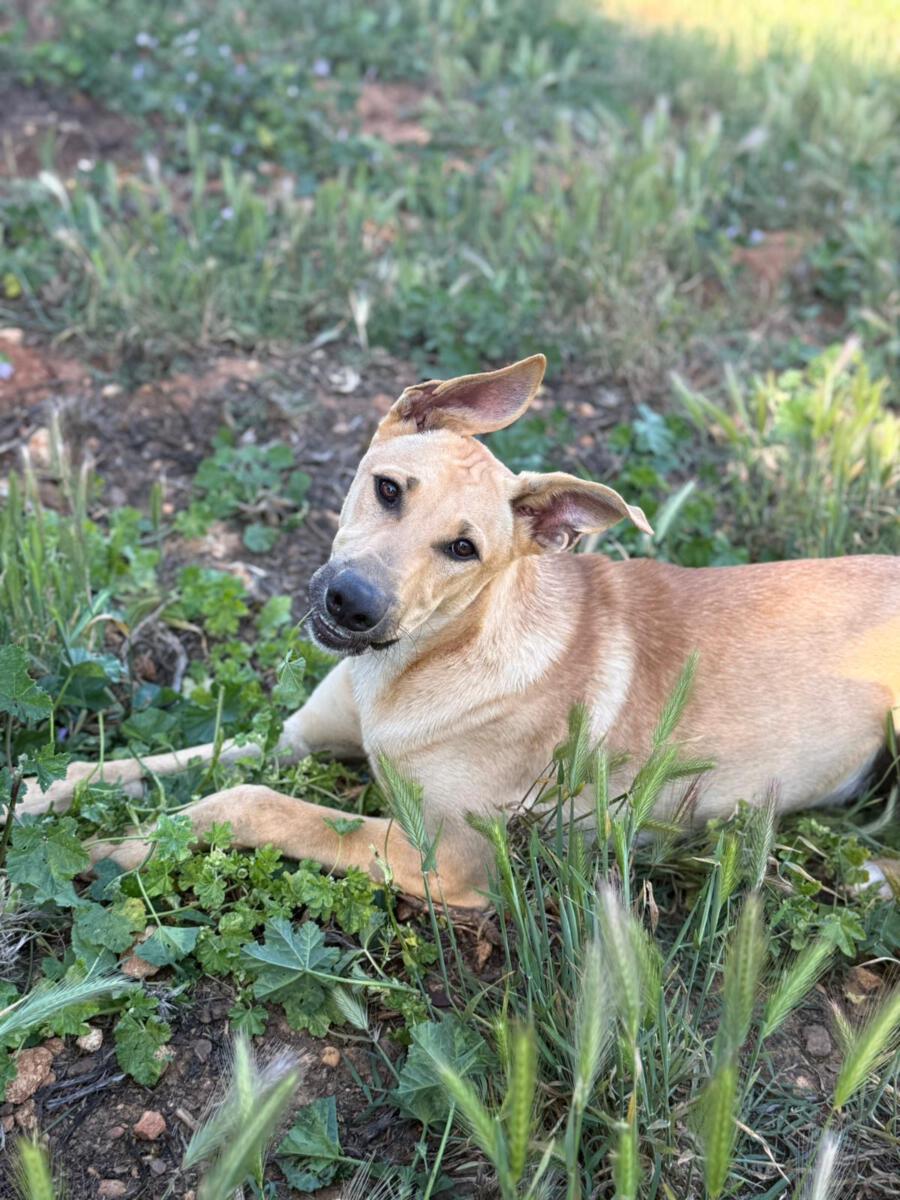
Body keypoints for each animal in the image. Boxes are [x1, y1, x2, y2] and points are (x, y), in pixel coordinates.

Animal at [21, 355, 900, 908]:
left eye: (463, 549)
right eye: (387, 489)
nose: (351, 603)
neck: (410, 671)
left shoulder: (450, 855)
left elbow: (252, 804)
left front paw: (127, 848)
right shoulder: (301, 737)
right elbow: (161, 762)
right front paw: (45, 793)